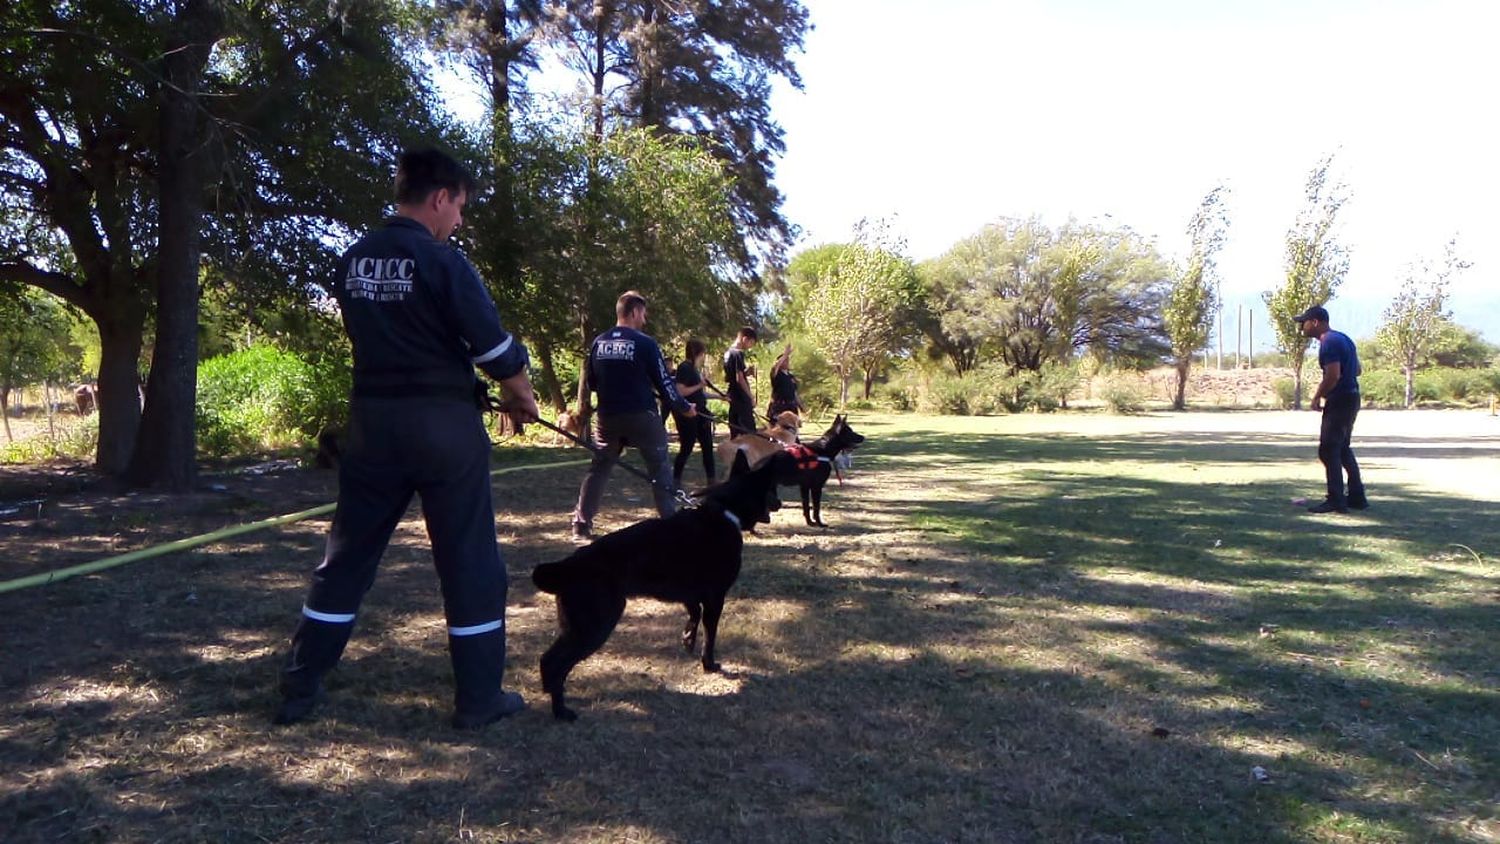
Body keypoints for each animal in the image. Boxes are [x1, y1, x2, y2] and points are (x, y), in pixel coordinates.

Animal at [531, 452, 798, 722]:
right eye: (772, 489)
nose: (781, 502)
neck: (726, 510)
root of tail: (568, 565)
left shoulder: (690, 594)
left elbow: (694, 614)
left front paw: (688, 638)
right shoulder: (715, 598)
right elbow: (710, 636)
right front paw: (709, 664)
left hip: (576, 626)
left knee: (547, 661)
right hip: (595, 625)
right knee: (554, 663)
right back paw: (561, 710)